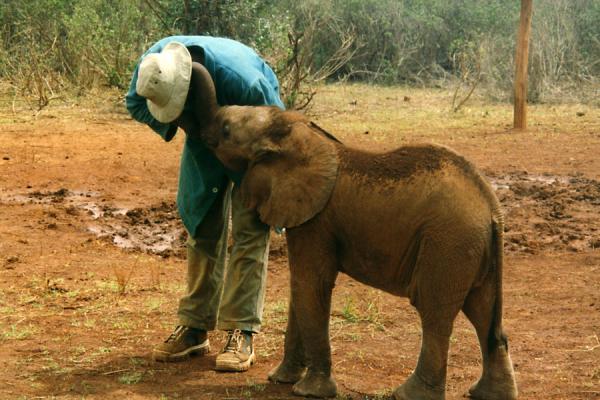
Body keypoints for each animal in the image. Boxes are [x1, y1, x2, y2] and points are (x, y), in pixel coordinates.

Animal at [185, 62, 516, 400]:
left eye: (226, 130)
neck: (299, 134)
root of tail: (491, 206)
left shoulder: (316, 220)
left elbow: (310, 286)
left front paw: (310, 391)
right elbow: (299, 288)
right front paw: (281, 380)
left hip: (448, 243)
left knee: (435, 313)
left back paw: (407, 393)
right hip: (473, 248)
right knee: (484, 314)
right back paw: (490, 393)